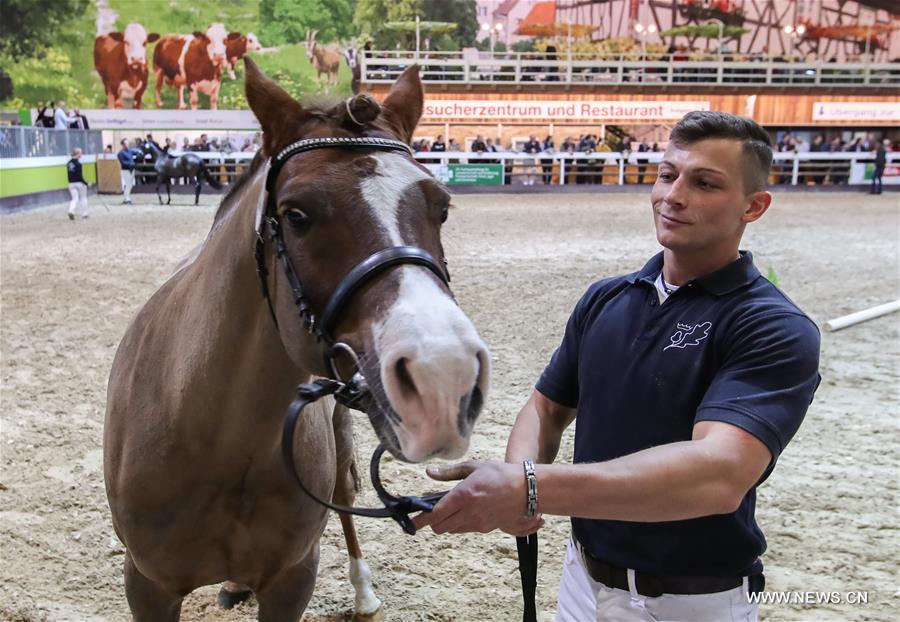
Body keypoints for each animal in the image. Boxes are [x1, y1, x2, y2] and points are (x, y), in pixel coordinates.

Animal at [103, 56, 492, 620]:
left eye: (440, 207)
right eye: (296, 214)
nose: (444, 374)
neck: (218, 442)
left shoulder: (292, 581)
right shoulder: (148, 586)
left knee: (346, 497)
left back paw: (363, 593)